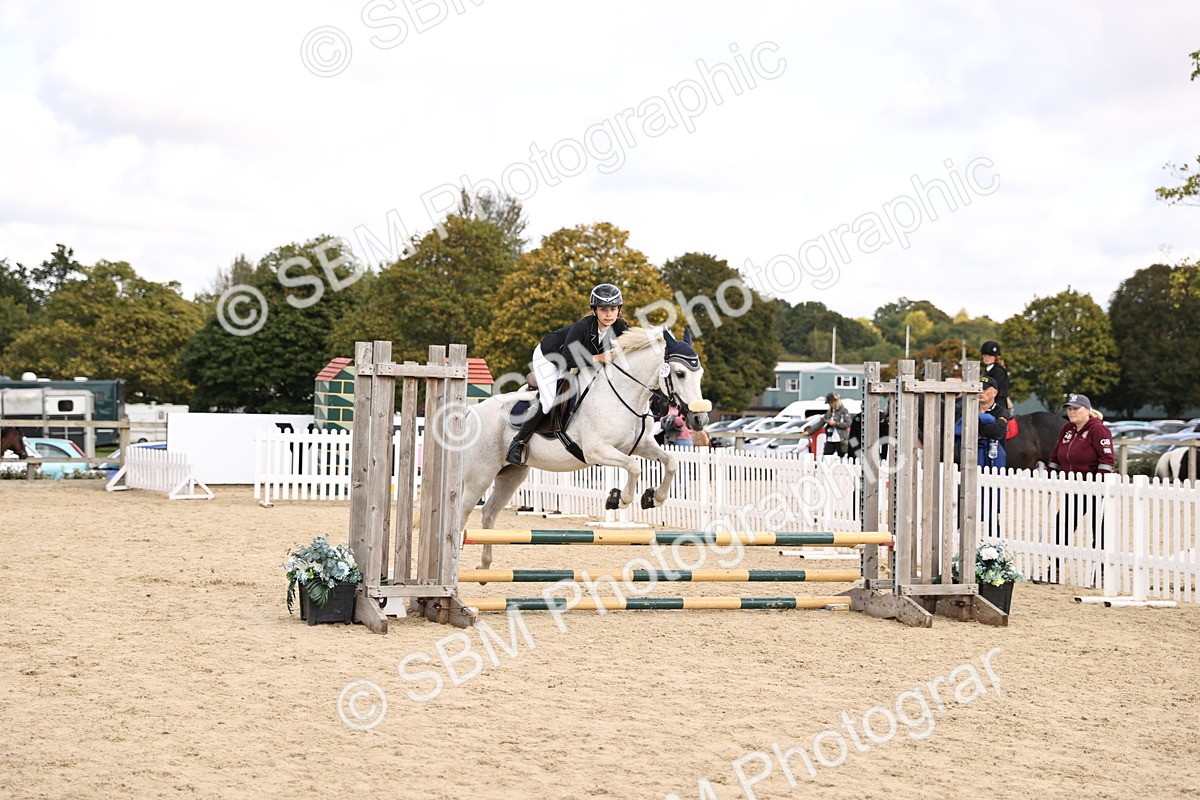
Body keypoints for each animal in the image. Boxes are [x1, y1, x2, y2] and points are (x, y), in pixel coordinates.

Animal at [459, 326, 710, 570]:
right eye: (680, 373)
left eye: (700, 374)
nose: (700, 419)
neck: (625, 393)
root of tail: (472, 412)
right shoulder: (596, 450)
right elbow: (634, 466)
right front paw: (620, 499)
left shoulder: (641, 445)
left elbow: (671, 462)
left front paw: (653, 497)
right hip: (480, 476)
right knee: (462, 513)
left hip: (511, 474)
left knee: (489, 512)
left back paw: (485, 565)